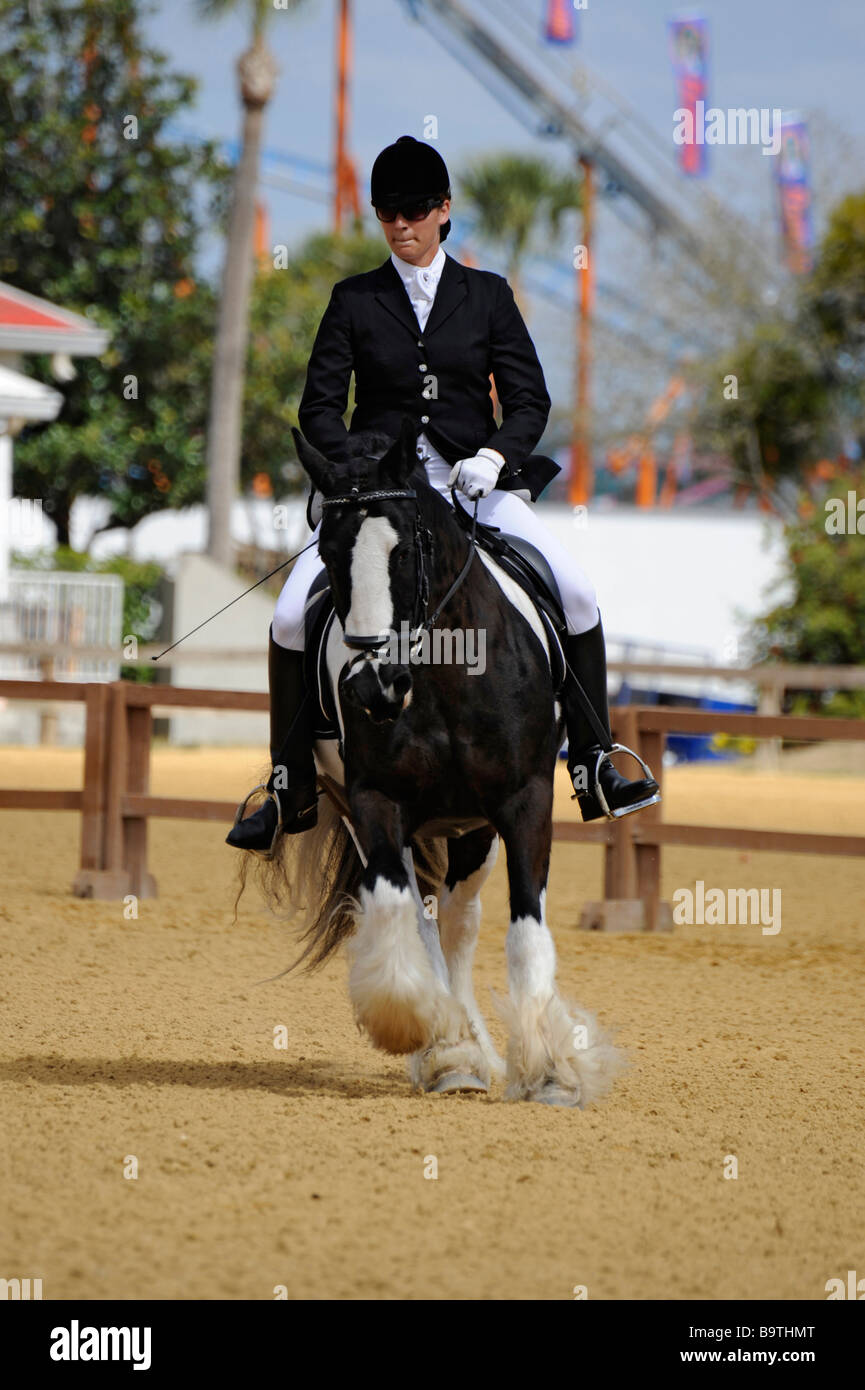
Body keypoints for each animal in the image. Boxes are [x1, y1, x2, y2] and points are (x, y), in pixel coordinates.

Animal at [255, 422, 623, 1106]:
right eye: (328, 555)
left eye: (406, 551)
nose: (372, 687)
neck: (444, 673)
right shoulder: (375, 801)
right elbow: (396, 911)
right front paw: (425, 1034)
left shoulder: (524, 800)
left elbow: (526, 932)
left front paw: (552, 1070)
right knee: (424, 922)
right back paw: (455, 1052)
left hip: (474, 828)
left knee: (458, 920)